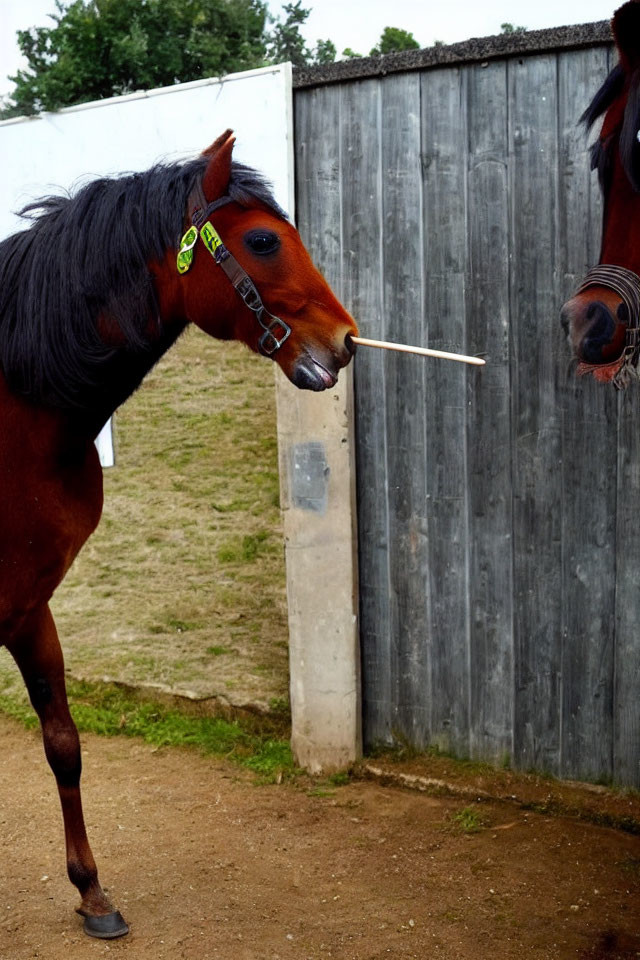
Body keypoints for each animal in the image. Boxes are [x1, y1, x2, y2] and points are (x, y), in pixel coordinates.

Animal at [0, 127, 356, 936]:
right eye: (263, 240)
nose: (347, 341)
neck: (14, 409)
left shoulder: (29, 605)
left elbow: (63, 743)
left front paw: (92, 891)